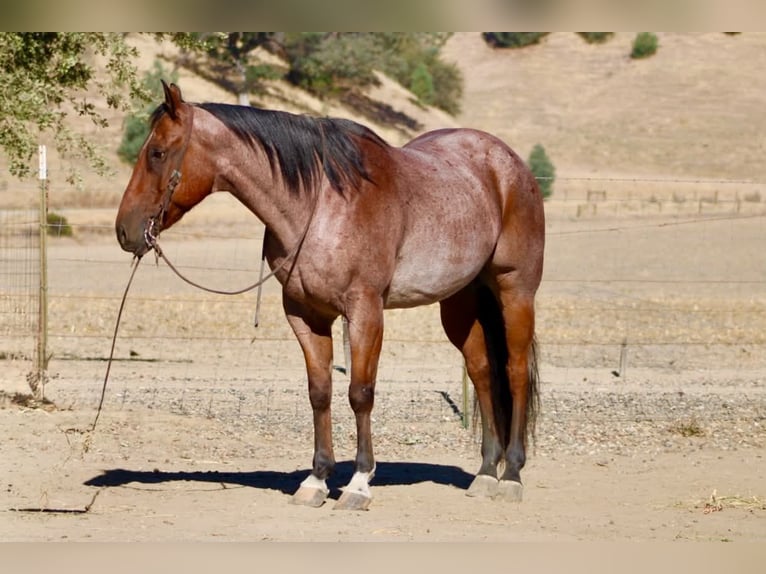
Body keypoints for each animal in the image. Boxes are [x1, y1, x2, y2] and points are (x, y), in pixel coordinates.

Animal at [115, 81, 545, 510]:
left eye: (157, 153)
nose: (124, 231)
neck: (320, 204)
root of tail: (509, 163)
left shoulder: (365, 311)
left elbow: (360, 393)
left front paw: (359, 483)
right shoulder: (306, 315)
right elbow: (320, 392)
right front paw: (317, 479)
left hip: (515, 292)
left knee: (515, 371)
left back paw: (512, 474)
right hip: (460, 302)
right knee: (482, 372)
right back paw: (486, 472)